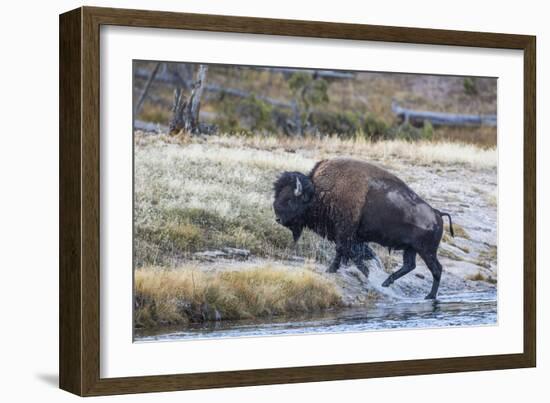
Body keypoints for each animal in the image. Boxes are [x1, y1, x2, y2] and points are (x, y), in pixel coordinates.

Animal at [274, 159, 454, 300]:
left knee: (436, 269)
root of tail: (437, 213)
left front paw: (335, 269)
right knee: (410, 265)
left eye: (289, 199)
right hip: (411, 249)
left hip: (426, 251)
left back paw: (429, 296)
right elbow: (351, 252)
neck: (320, 192)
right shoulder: (348, 236)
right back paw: (386, 283)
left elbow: (345, 251)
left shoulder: (345, 233)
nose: (278, 219)